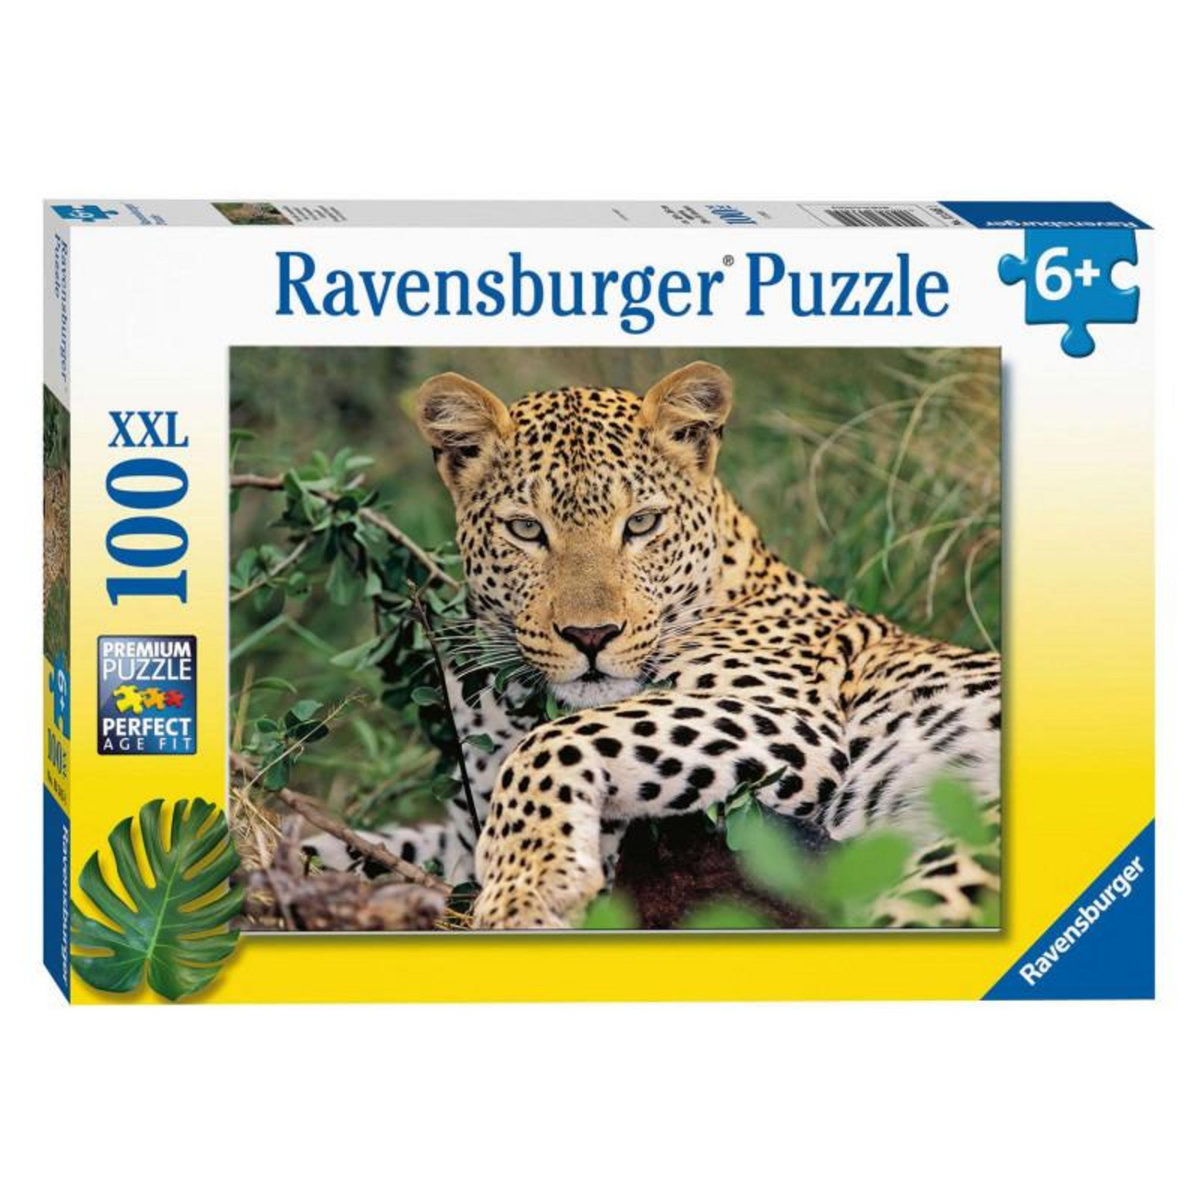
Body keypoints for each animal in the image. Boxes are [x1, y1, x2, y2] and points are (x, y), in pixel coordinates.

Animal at [304, 361, 1001, 930]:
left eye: (641, 523)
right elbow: (369, 843)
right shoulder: (460, 829)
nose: (590, 636)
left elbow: (552, 742)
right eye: (526, 530)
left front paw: (529, 887)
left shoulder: (792, 722)